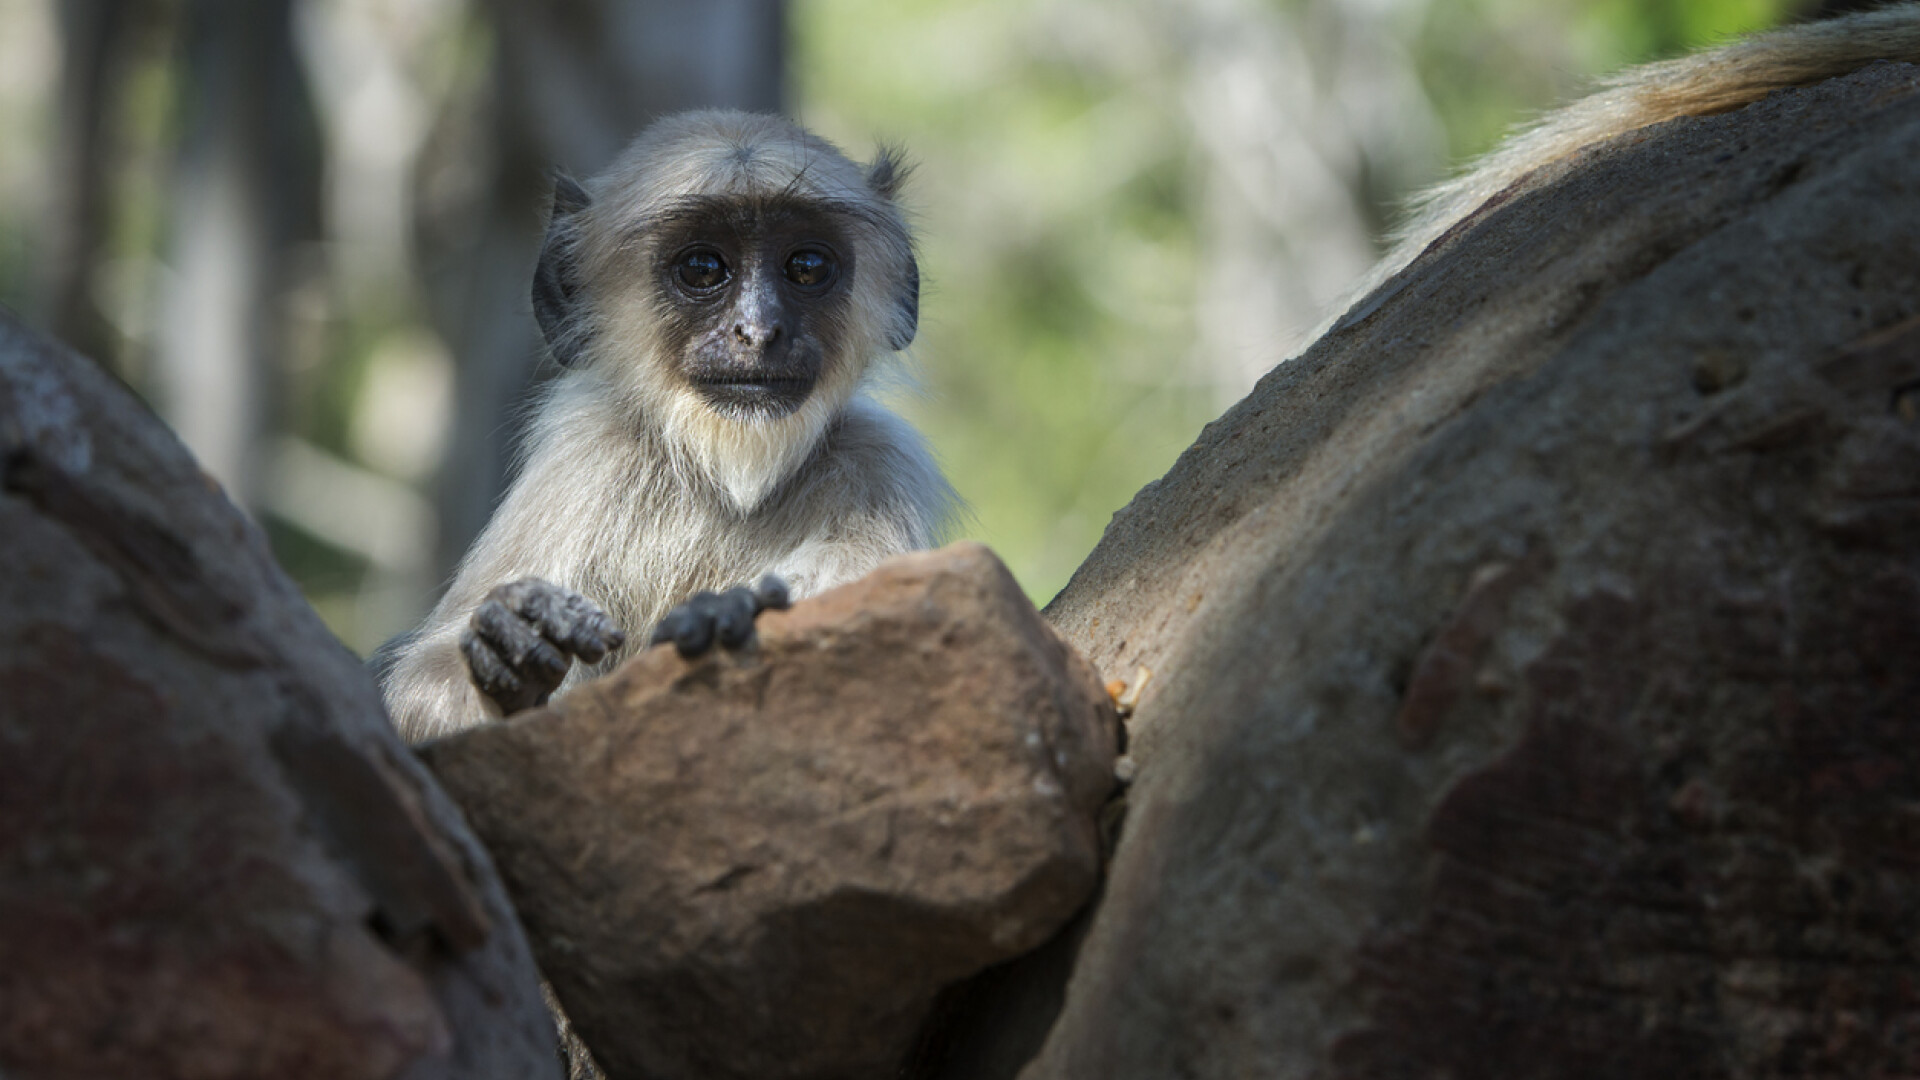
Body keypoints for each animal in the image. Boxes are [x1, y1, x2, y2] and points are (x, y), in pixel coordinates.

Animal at [372, 113, 952, 745]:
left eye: (807, 267)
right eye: (702, 268)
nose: (758, 331)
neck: (729, 481)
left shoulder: (882, 462)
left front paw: (722, 616)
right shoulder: (583, 456)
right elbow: (420, 691)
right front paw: (508, 650)